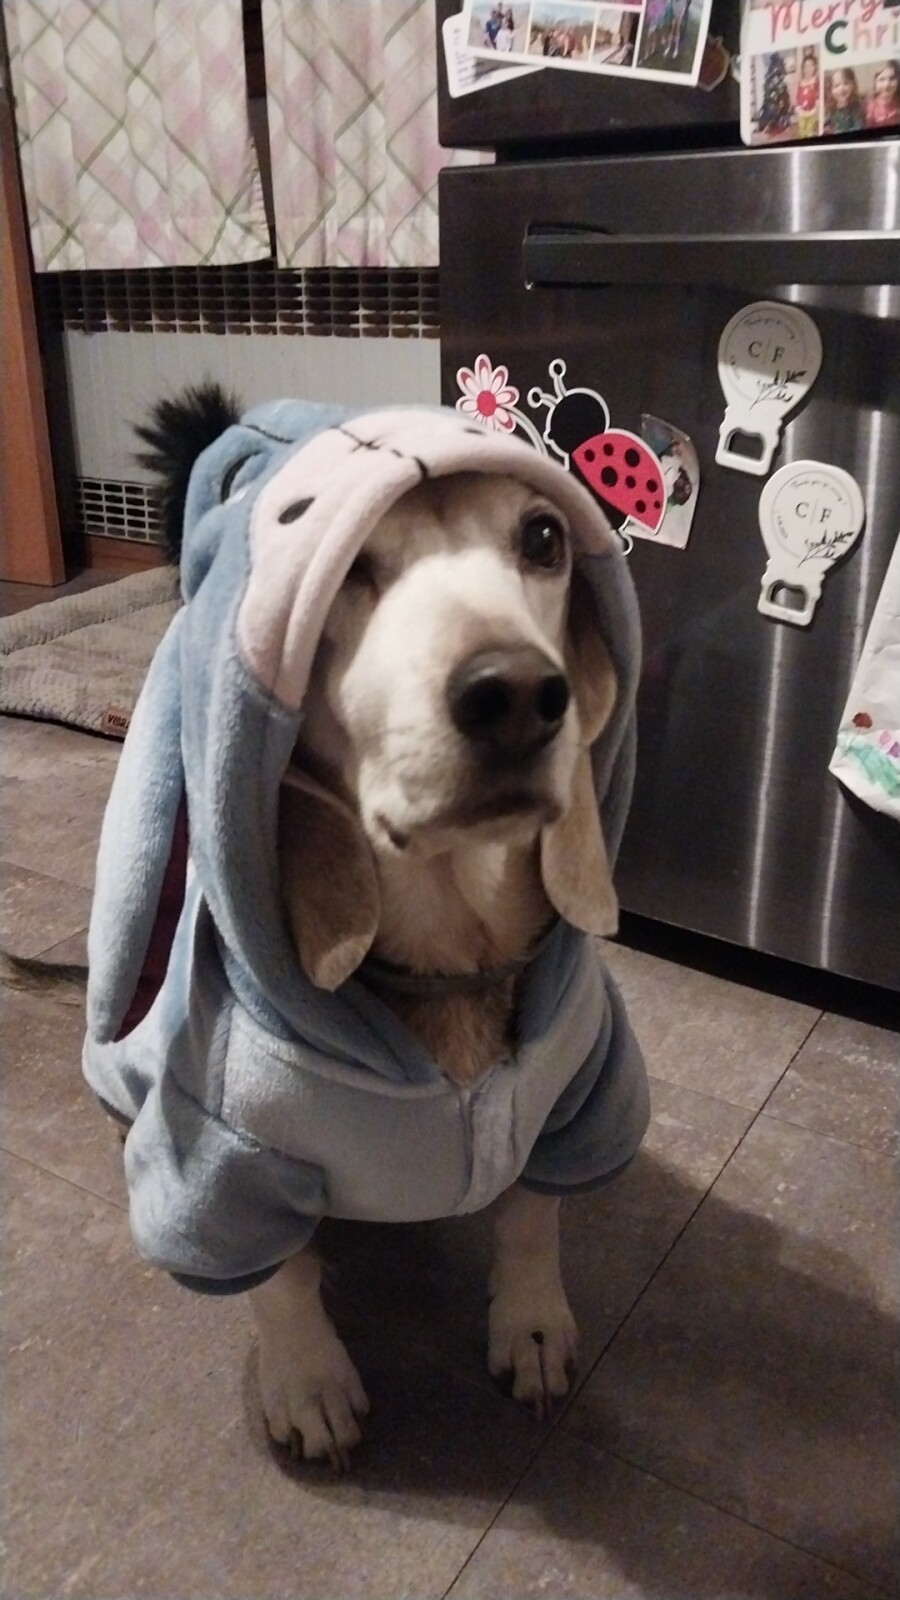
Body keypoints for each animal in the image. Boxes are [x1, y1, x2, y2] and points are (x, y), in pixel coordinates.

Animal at [15, 387, 649, 1469]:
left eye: (544, 537)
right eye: (346, 565)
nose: (518, 693)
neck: (448, 960)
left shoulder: (581, 1095)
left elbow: (532, 1216)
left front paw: (530, 1323)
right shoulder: (225, 1165)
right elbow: (283, 1280)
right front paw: (308, 1381)